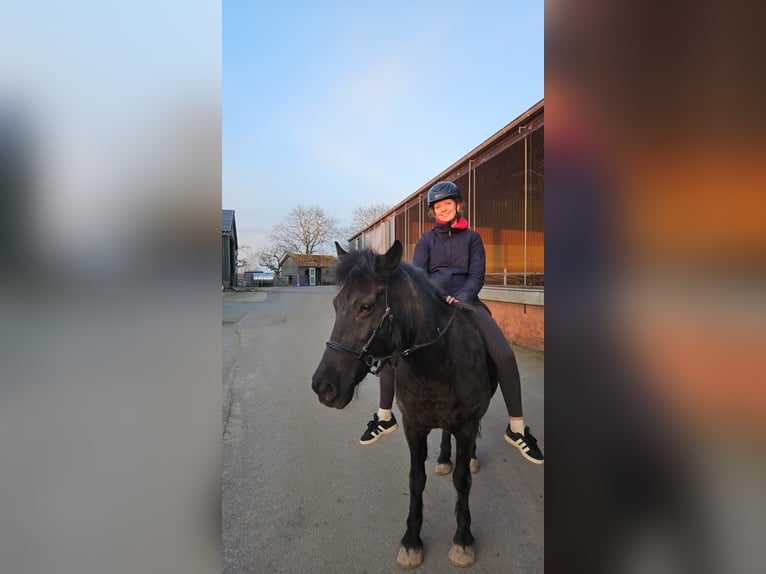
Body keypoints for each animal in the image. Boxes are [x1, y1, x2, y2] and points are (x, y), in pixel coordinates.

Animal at [311, 240, 498, 569]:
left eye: (365, 307)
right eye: (336, 305)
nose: (324, 387)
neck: (438, 363)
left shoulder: (465, 425)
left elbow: (462, 481)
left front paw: (463, 539)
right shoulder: (414, 427)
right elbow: (416, 480)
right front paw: (412, 540)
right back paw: (443, 459)